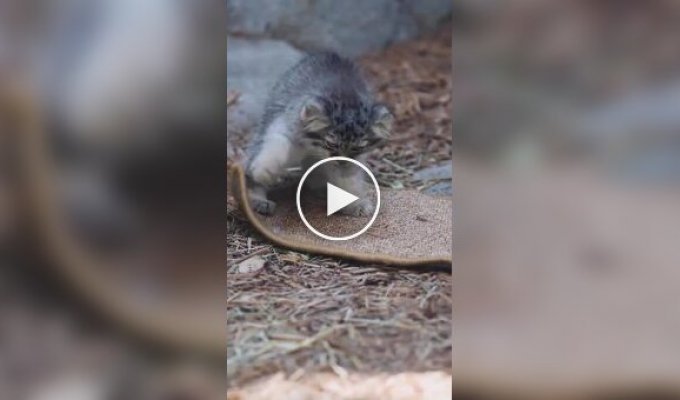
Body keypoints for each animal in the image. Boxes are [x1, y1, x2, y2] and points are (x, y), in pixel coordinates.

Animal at [244, 53, 394, 217]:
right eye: (332, 144)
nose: (341, 162)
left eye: (357, 148)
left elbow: (349, 179)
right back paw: (258, 198)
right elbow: (277, 145)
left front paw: (354, 202)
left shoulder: (353, 160)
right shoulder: (287, 125)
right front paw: (265, 170)